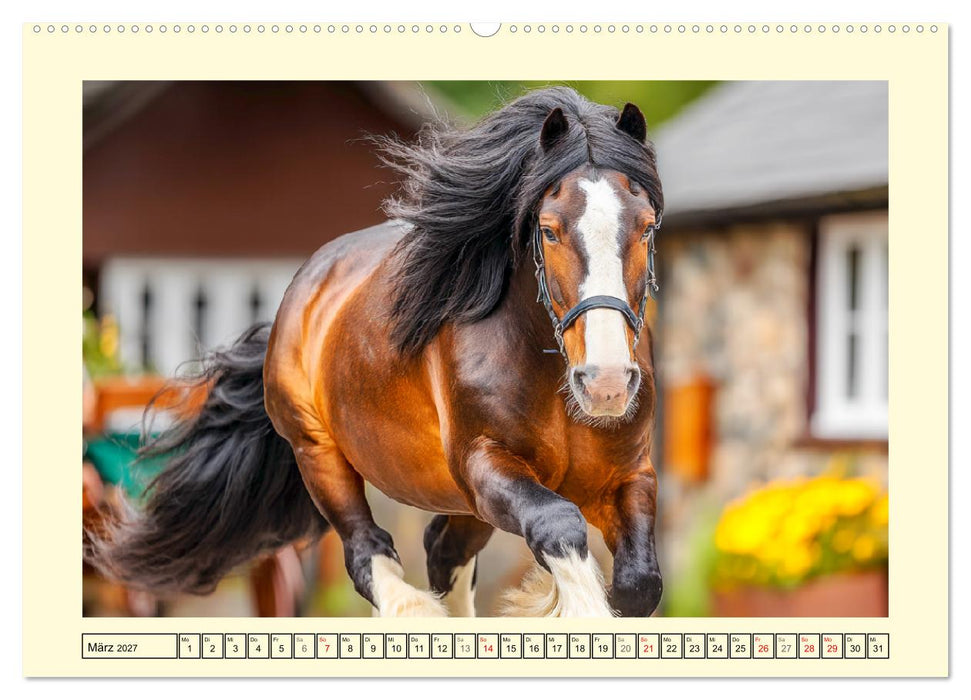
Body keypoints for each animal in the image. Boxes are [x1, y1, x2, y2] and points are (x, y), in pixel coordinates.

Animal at [85, 86, 665, 618]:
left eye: (646, 227)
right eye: (549, 230)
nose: (607, 383)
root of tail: (304, 284)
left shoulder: (629, 476)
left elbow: (640, 585)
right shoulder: (485, 465)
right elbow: (559, 525)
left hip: (460, 503)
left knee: (441, 551)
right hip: (320, 454)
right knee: (370, 555)